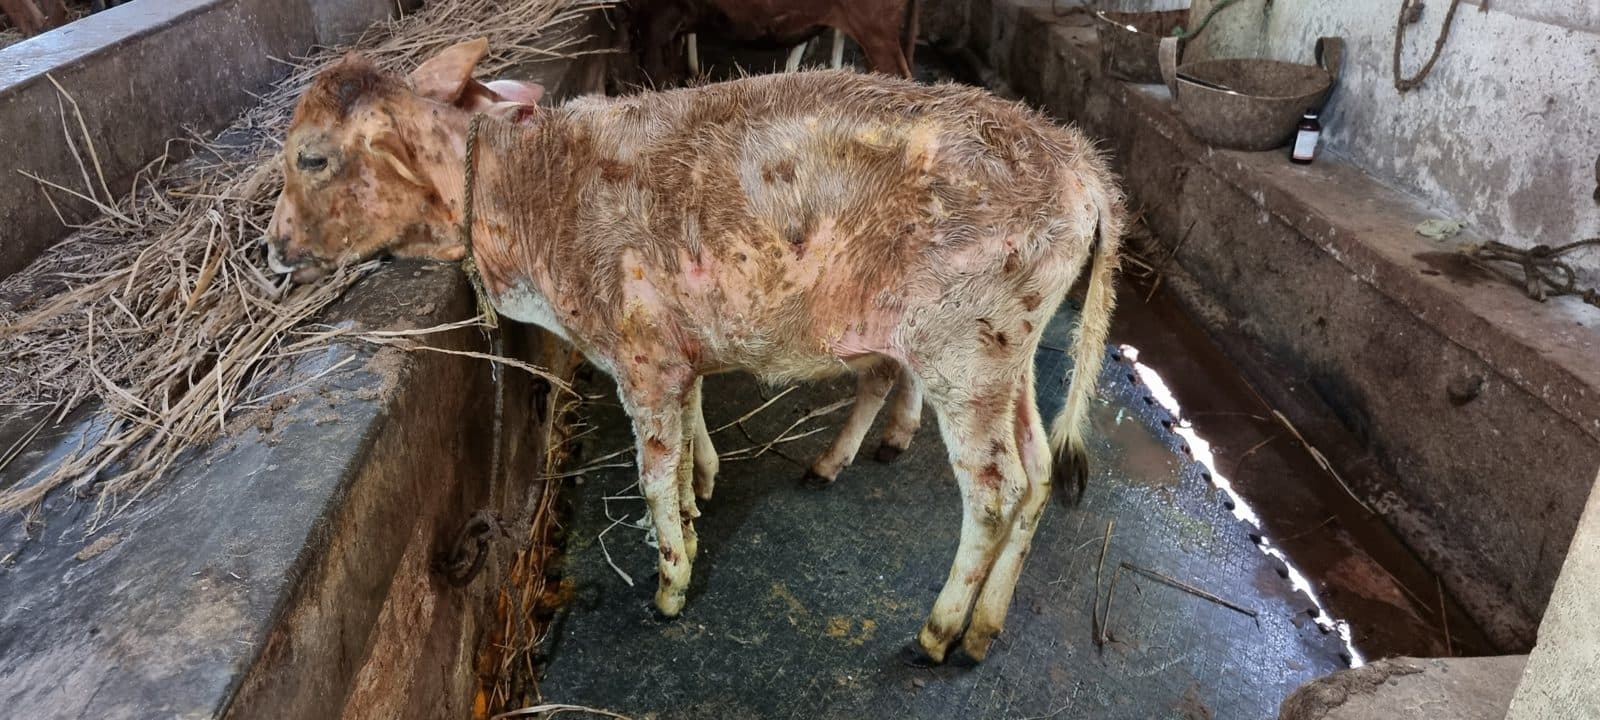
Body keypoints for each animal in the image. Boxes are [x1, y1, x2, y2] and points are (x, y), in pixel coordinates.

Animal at [265, 41, 1123, 665]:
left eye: (311, 157)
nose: (272, 248)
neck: (527, 202)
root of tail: (1082, 165)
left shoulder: (640, 355)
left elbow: (650, 470)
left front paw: (670, 585)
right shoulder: (675, 351)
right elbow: (680, 448)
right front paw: (694, 505)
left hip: (961, 348)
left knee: (994, 493)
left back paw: (938, 632)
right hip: (1007, 353)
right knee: (1038, 473)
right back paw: (982, 629)